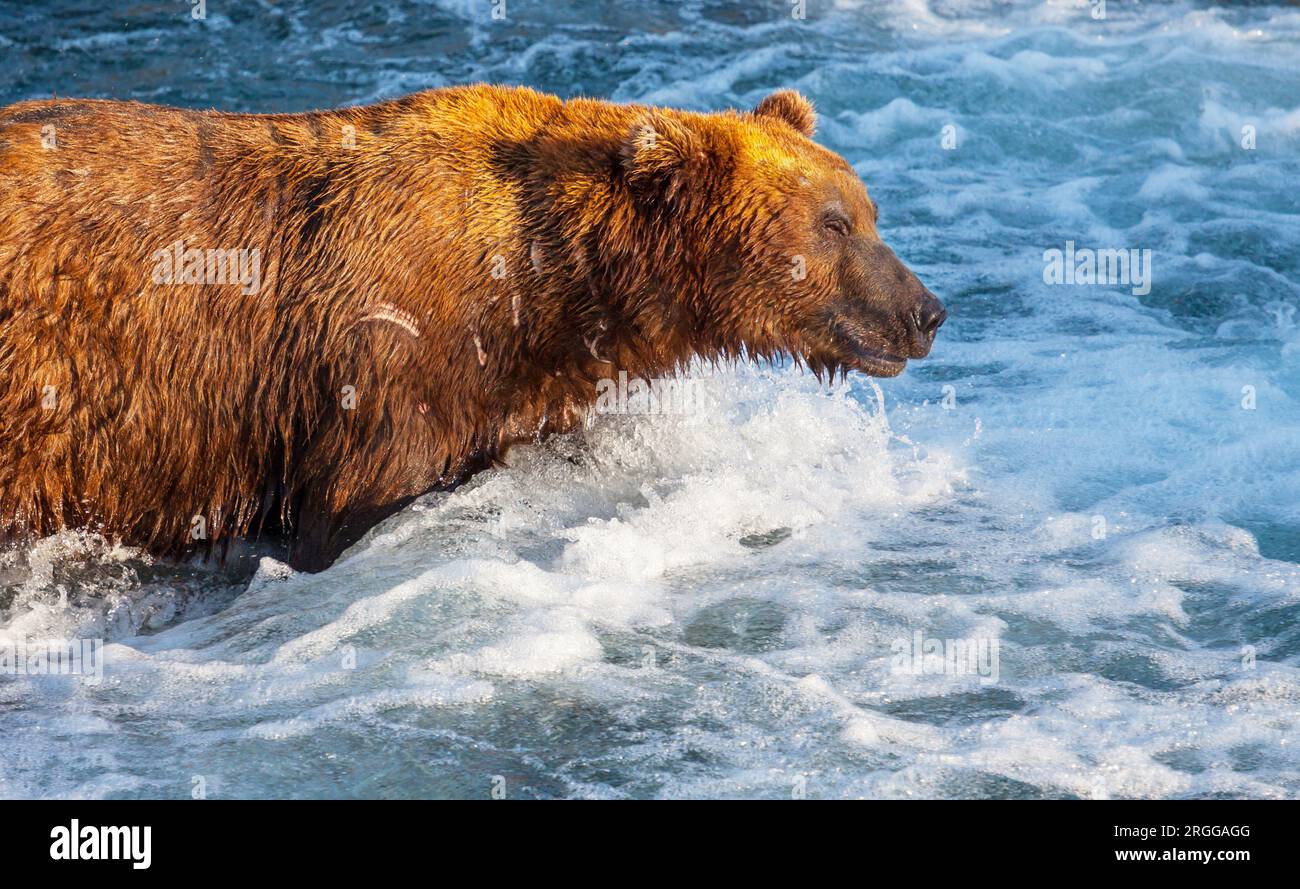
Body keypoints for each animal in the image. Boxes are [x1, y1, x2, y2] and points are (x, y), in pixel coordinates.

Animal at [0, 83, 941, 569]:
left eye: (867, 210)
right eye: (833, 224)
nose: (925, 311)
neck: (542, 287)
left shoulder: (522, 386)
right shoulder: (384, 368)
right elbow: (353, 502)